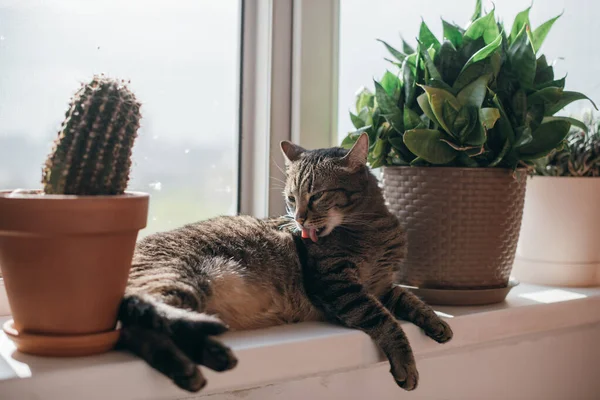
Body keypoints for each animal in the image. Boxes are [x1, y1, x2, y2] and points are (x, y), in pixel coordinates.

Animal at [119, 133, 452, 392]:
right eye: (292, 198)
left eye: (316, 196)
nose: (299, 218)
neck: (372, 228)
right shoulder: (338, 285)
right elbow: (382, 319)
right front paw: (406, 362)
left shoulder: (382, 285)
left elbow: (410, 299)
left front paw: (437, 323)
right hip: (179, 278)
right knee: (138, 322)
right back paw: (200, 360)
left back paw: (206, 359)